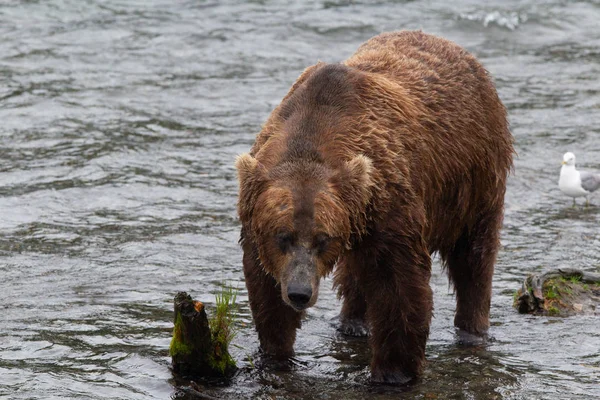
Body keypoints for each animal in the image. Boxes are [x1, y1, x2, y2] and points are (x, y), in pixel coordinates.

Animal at [234, 31, 510, 384]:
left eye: (322, 238)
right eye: (282, 236)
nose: (299, 292)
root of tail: (453, 46)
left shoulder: (389, 203)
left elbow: (398, 286)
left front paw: (393, 373)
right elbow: (265, 289)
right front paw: (276, 354)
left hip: (474, 181)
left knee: (473, 258)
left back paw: (472, 330)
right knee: (355, 271)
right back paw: (352, 322)